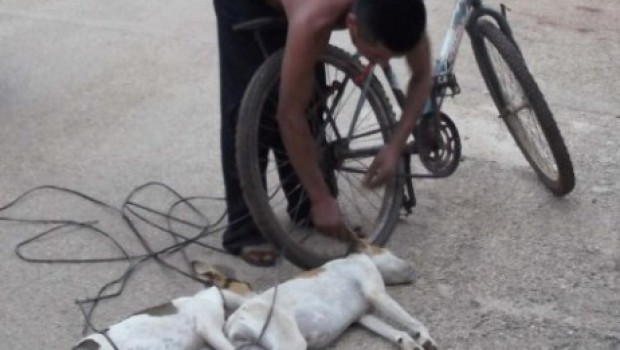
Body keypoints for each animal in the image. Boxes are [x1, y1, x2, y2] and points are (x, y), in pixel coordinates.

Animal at [225, 241, 438, 350]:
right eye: (387, 250)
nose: (413, 268)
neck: (357, 257)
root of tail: (234, 319)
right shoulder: (376, 293)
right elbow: (412, 321)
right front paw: (424, 336)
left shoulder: (363, 317)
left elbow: (392, 331)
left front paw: (407, 342)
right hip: (291, 343)